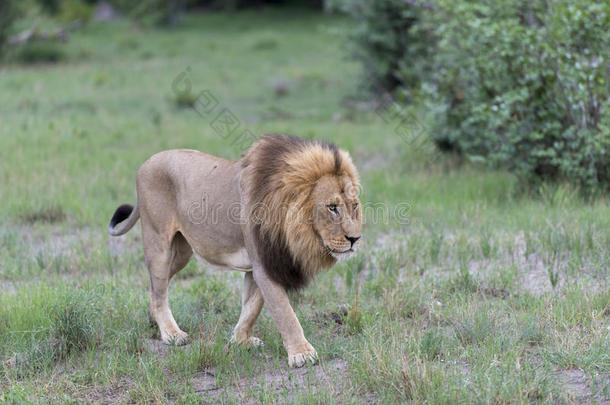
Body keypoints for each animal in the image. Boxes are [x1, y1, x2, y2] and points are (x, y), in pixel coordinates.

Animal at [108, 133, 360, 366]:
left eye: (355, 206)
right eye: (332, 207)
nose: (355, 239)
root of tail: (146, 163)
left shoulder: (260, 265)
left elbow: (251, 307)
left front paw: (241, 340)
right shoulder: (264, 264)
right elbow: (285, 313)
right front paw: (302, 354)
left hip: (180, 253)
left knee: (155, 287)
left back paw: (154, 320)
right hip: (159, 243)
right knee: (160, 291)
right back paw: (171, 334)